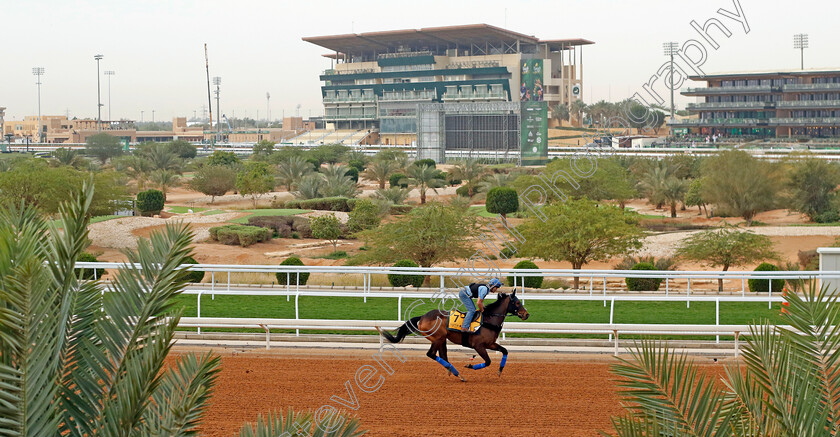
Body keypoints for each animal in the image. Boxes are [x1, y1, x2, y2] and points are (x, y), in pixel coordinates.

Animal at [378, 290, 528, 382]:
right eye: (517, 302)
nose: (527, 314)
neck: (488, 320)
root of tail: (422, 317)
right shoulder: (479, 346)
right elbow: (488, 361)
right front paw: (469, 365)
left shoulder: (490, 344)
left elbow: (505, 351)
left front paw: (500, 370)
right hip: (438, 338)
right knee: (431, 354)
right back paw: (457, 372)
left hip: (442, 339)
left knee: (443, 356)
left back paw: (455, 373)